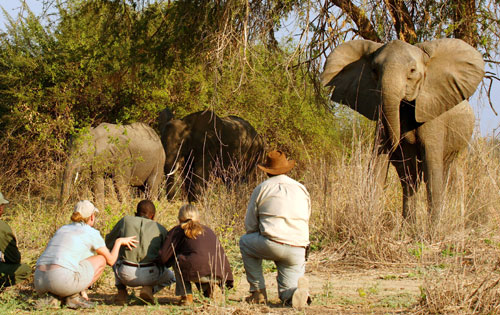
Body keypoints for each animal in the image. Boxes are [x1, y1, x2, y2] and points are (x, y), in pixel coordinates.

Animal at [320, 39, 484, 227]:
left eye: (412, 71)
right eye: (374, 71)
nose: (398, 143)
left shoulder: (432, 115)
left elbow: (432, 168)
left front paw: (433, 231)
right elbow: (377, 163)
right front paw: (369, 223)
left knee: (441, 173)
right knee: (409, 180)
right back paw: (409, 227)